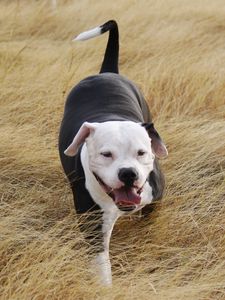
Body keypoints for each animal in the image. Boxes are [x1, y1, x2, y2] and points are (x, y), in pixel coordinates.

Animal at [59, 19, 168, 284]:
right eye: (106, 154)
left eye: (141, 152)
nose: (128, 173)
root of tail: (106, 73)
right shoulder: (93, 226)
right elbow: (101, 266)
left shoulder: (154, 203)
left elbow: (146, 232)